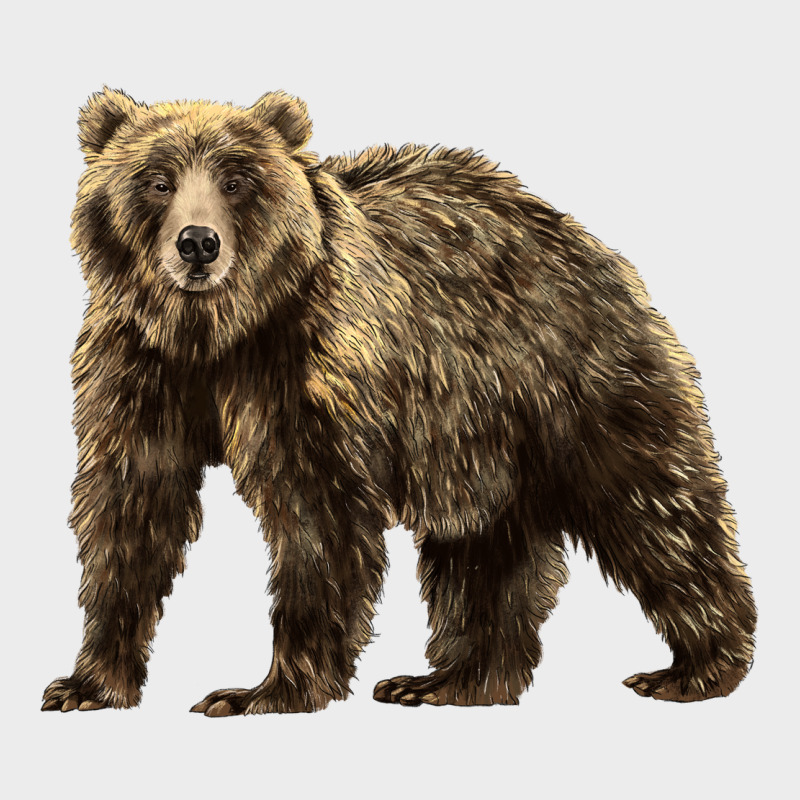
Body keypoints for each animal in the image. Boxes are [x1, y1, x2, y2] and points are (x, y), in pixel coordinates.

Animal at [43, 88, 756, 715]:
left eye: (238, 180)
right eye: (156, 180)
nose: (197, 243)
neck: (216, 334)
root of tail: (581, 237)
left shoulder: (310, 368)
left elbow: (318, 518)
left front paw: (262, 691)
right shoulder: (138, 368)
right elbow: (131, 509)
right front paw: (87, 683)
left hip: (571, 378)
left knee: (651, 504)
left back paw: (695, 667)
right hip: (475, 437)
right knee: (482, 549)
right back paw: (450, 680)